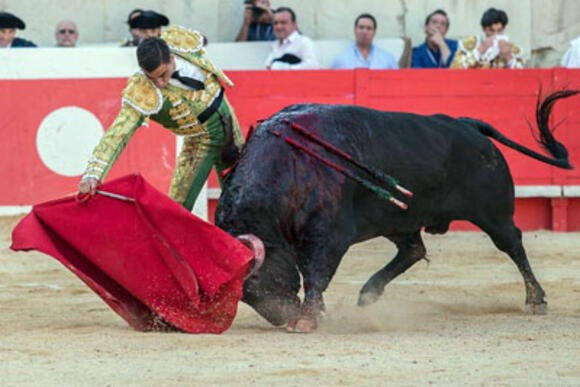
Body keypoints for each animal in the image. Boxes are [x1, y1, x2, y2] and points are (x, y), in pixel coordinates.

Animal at [219, 91, 580, 334]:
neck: (288, 168)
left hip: (494, 215)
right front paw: (315, 314)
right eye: (243, 295)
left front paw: (309, 317)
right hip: (397, 219)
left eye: (260, 281)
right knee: (413, 249)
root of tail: (467, 125)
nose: (283, 319)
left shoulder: (329, 235)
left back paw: (535, 300)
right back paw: (369, 293)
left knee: (513, 244)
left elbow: (316, 273)